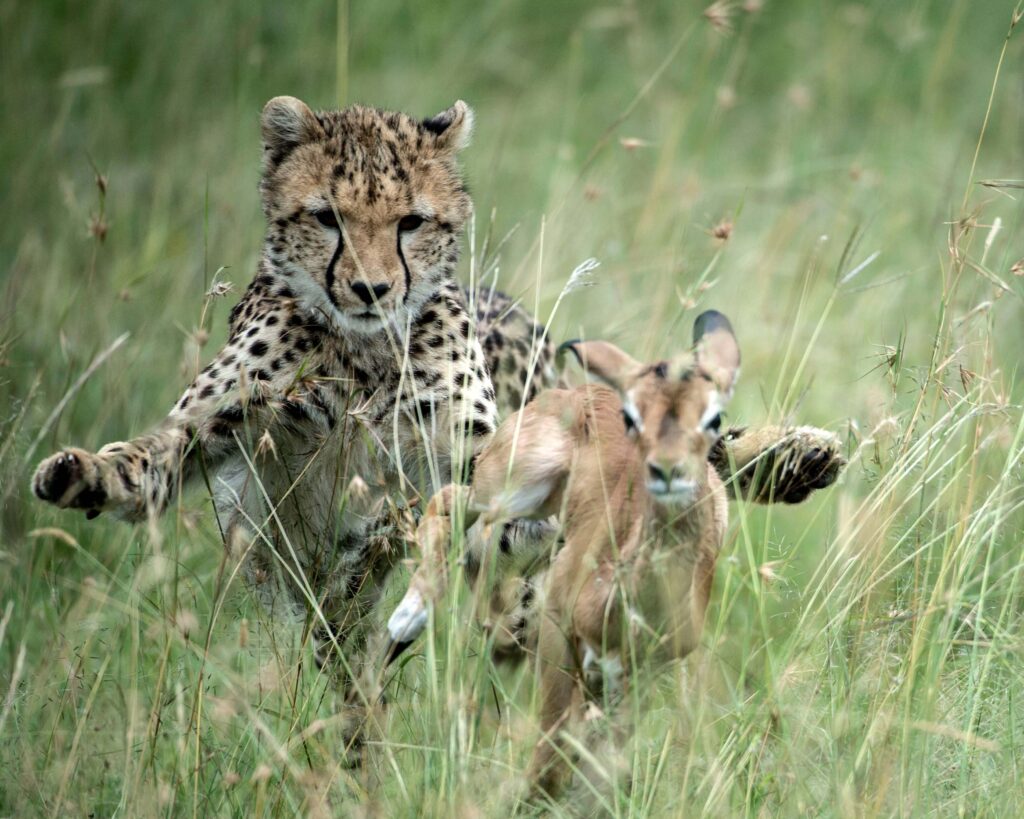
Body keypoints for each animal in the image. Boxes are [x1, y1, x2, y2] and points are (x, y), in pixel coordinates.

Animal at [30, 96, 845, 730]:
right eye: (326, 216)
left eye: (410, 222)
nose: (371, 288)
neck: (360, 353)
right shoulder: (223, 434)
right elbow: (148, 457)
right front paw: (83, 472)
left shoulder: (480, 457)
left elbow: (486, 523)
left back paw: (794, 458)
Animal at [387, 309, 741, 799]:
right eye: (633, 415)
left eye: (713, 416)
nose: (668, 470)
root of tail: (578, 390)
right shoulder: (556, 632)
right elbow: (550, 760)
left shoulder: (639, 673)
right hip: (510, 486)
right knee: (447, 502)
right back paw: (405, 623)